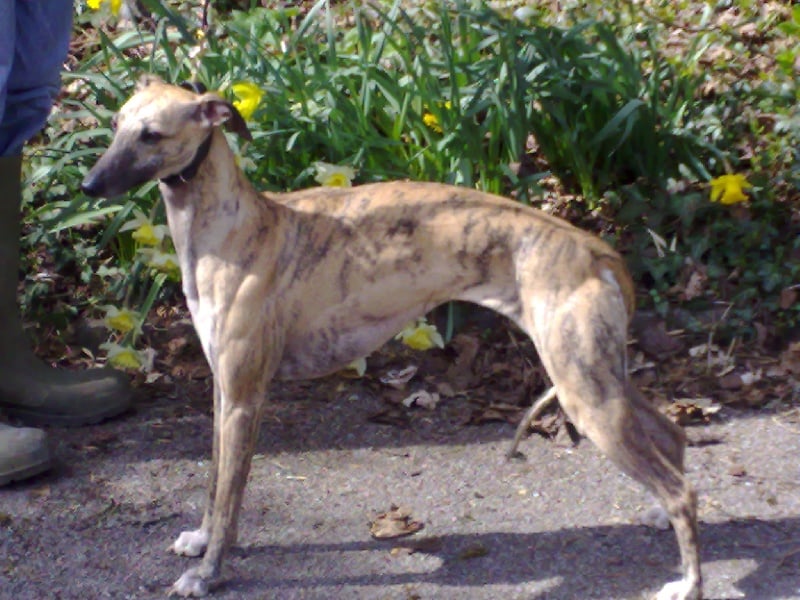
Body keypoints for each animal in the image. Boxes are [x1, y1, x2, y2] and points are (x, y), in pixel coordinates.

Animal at [81, 76, 701, 599]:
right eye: (115, 123)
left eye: (151, 134)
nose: (88, 185)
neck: (237, 229)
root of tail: (596, 251)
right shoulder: (222, 391)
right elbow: (214, 485)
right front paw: (201, 540)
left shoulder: (244, 397)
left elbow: (232, 496)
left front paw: (209, 574)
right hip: (599, 372)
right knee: (672, 437)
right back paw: (659, 517)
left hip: (583, 389)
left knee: (682, 490)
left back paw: (687, 581)